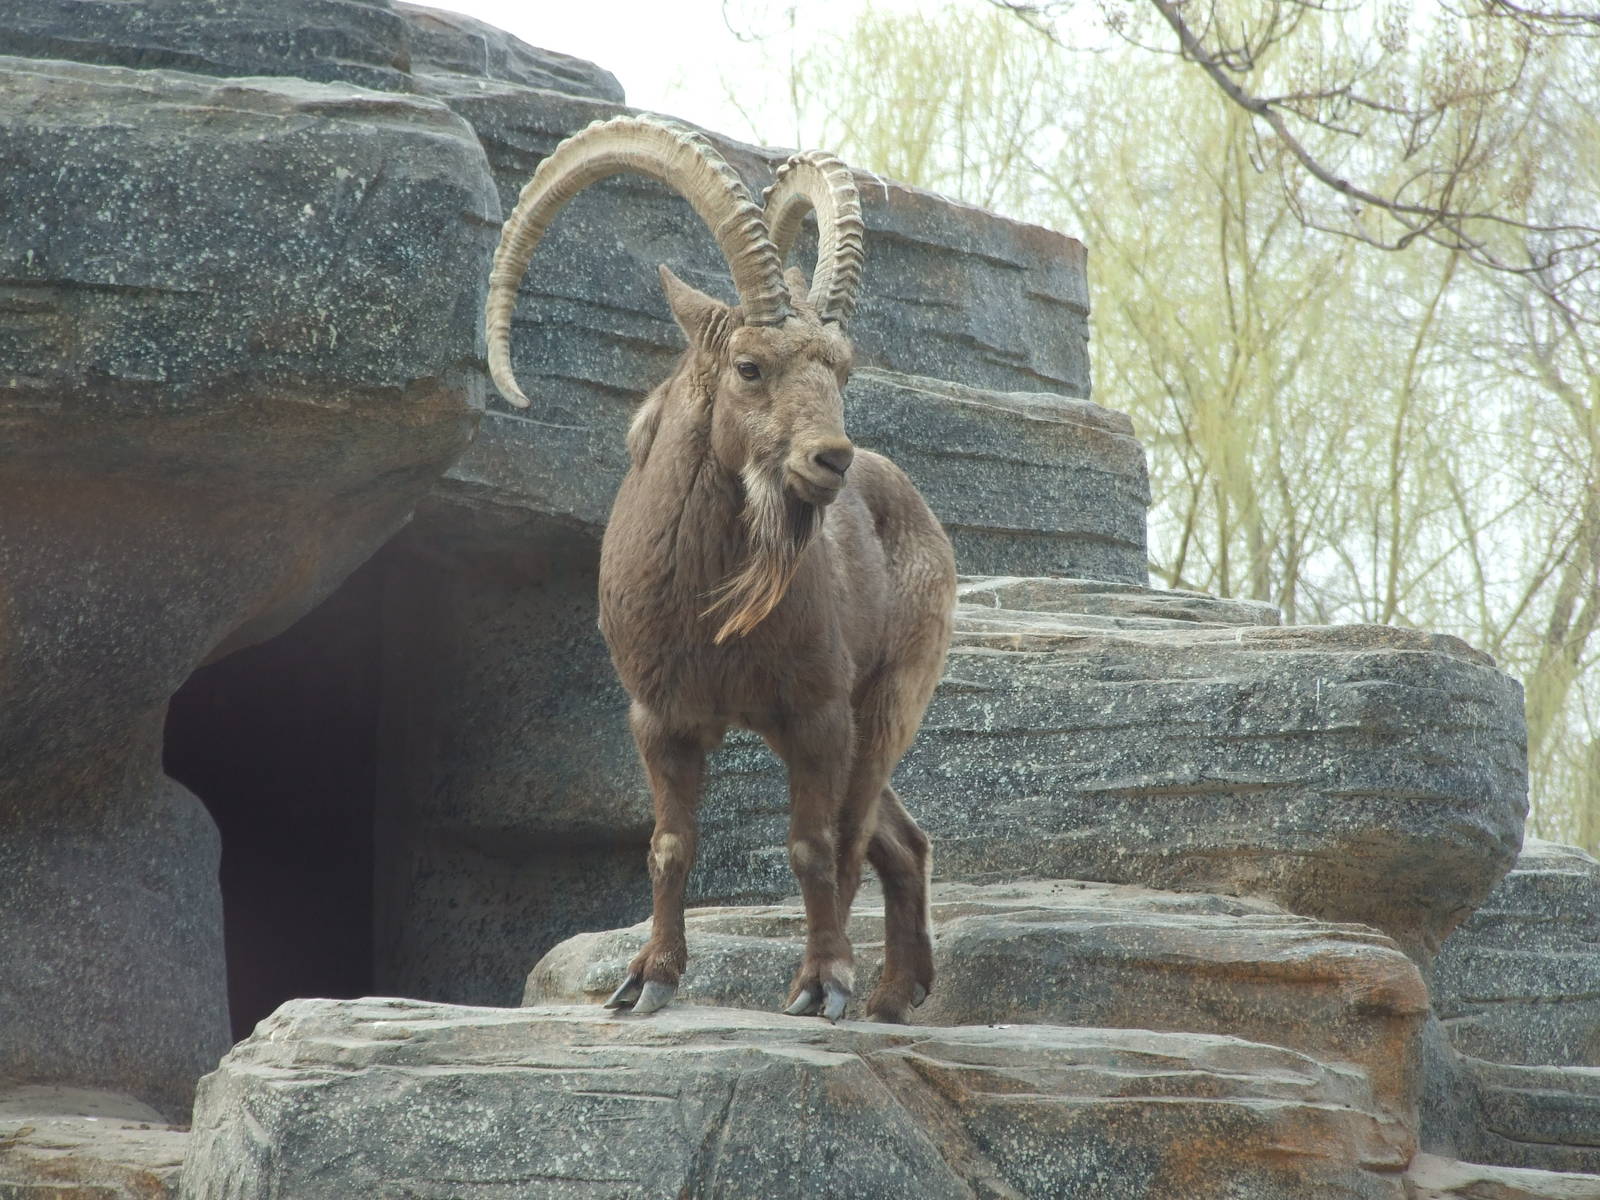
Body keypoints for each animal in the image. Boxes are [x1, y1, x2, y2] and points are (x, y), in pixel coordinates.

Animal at [484, 116, 955, 1024]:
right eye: (749, 366)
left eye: (841, 370)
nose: (830, 460)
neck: (710, 608)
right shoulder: (659, 717)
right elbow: (670, 844)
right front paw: (647, 980)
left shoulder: (815, 713)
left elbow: (812, 847)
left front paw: (819, 983)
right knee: (899, 838)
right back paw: (894, 995)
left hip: (886, 703)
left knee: (859, 837)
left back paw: (861, 989)